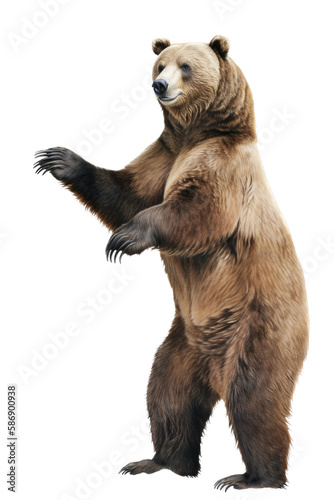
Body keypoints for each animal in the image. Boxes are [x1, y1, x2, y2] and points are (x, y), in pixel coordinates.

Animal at [34, 37, 308, 490]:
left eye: (186, 66)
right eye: (159, 65)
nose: (160, 86)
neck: (196, 133)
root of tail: (214, 367)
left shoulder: (223, 165)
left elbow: (199, 210)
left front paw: (125, 238)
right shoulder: (163, 156)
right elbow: (127, 192)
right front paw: (60, 159)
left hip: (260, 326)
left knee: (253, 399)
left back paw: (254, 477)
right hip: (183, 342)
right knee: (168, 395)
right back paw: (160, 461)